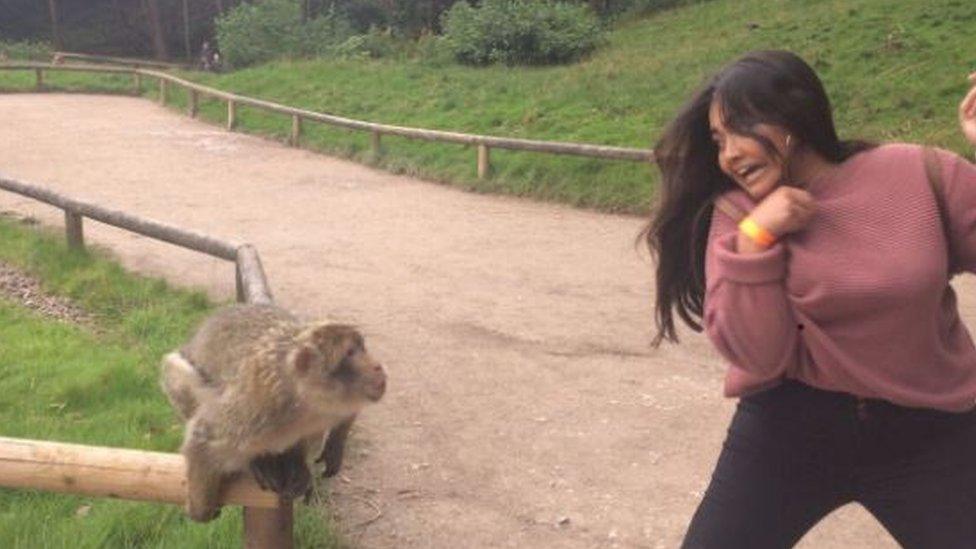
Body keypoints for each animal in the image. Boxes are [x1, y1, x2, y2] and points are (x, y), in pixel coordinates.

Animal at [160, 304, 386, 524]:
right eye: (350, 353)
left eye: (362, 348)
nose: (378, 366)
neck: (307, 403)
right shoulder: (258, 407)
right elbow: (204, 438)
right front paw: (201, 507)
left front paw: (334, 444)